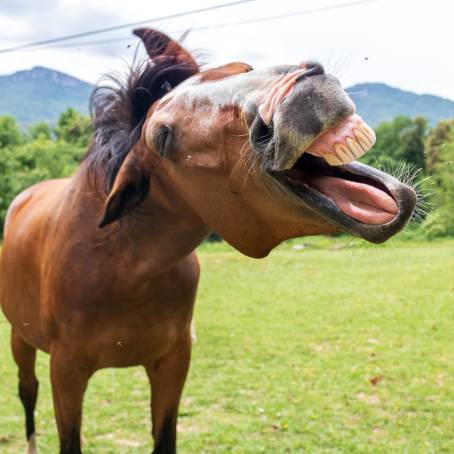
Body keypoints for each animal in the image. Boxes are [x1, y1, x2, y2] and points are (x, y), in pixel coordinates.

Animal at [0, 29, 416, 454]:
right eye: (163, 138)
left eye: (243, 68)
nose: (300, 96)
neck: (120, 265)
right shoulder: (66, 372)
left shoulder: (173, 363)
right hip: (21, 339)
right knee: (27, 391)